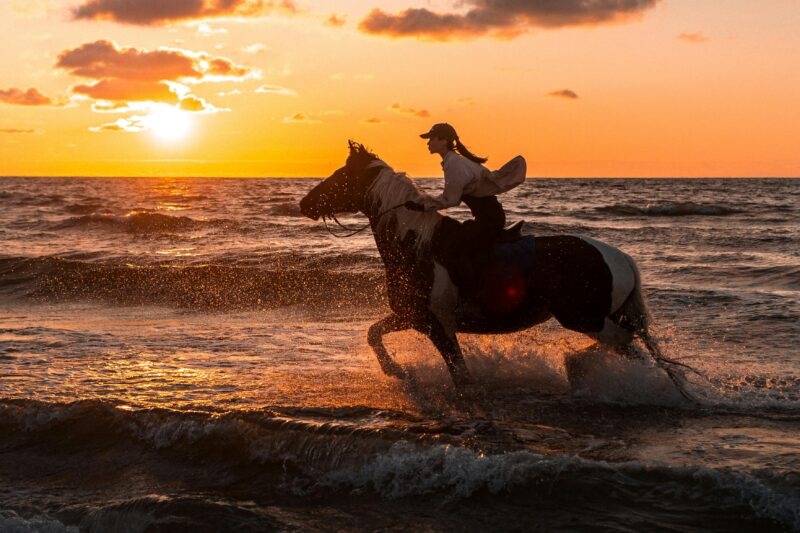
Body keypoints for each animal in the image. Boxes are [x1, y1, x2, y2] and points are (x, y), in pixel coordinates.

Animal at [299, 142, 694, 398]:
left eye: (340, 176)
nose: (305, 204)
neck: (413, 243)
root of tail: (621, 258)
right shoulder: (413, 316)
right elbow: (373, 333)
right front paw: (396, 371)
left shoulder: (438, 325)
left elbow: (461, 376)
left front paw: (401, 371)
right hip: (597, 318)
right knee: (628, 348)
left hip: (585, 318)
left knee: (625, 343)